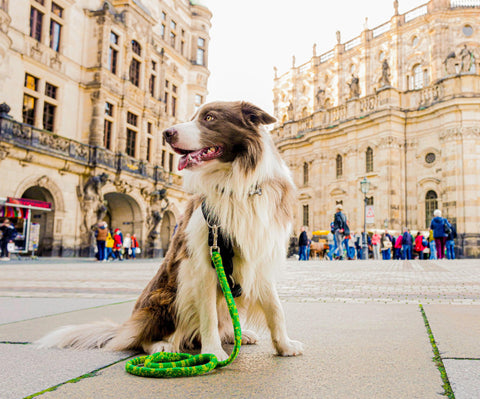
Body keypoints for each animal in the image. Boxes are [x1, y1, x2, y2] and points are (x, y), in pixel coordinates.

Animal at [39, 101, 306, 360]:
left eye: (209, 117)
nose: (166, 133)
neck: (234, 183)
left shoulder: (261, 257)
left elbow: (276, 309)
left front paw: (284, 345)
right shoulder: (204, 263)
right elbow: (208, 314)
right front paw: (213, 353)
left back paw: (237, 335)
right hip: (171, 294)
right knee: (147, 338)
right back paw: (162, 346)